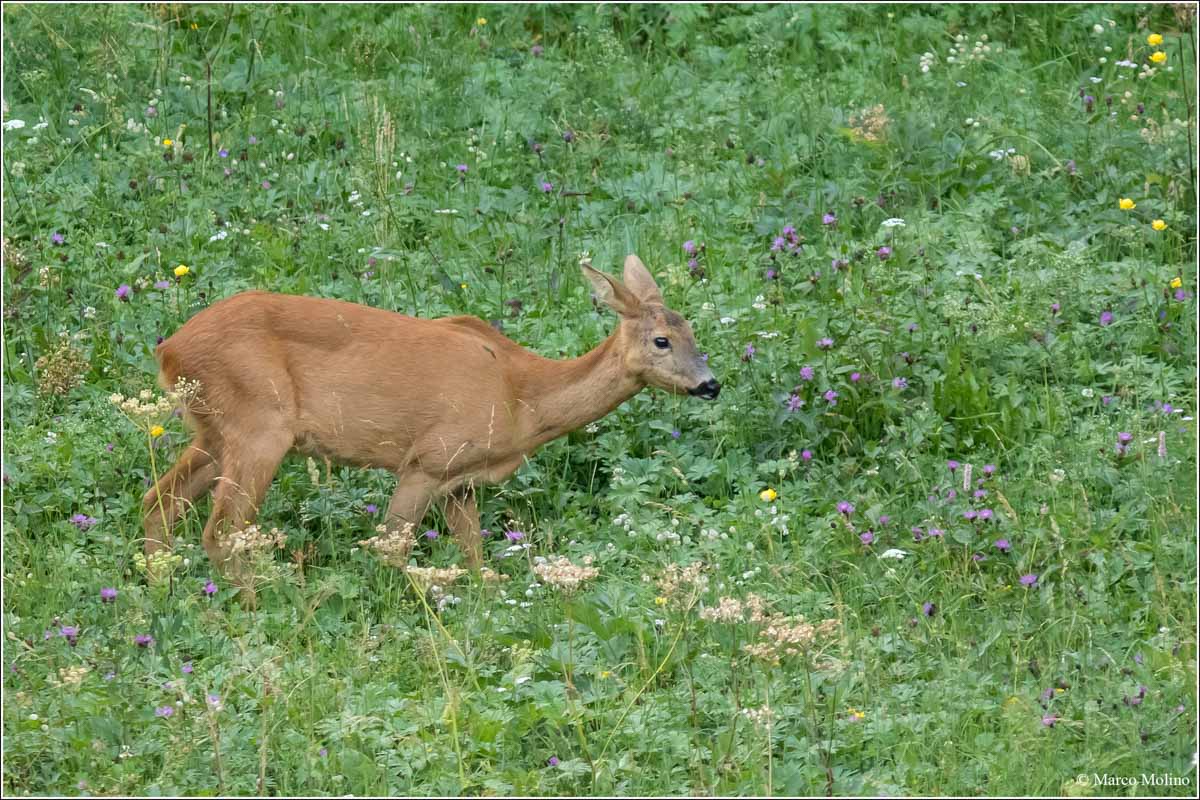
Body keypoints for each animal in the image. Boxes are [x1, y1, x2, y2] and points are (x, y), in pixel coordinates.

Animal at [142, 256, 720, 587]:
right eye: (661, 340)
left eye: (693, 332)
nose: (710, 384)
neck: (522, 397)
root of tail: (169, 350)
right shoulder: (427, 459)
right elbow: (391, 548)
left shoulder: (460, 480)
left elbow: (476, 558)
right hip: (260, 421)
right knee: (221, 529)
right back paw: (257, 599)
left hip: (214, 428)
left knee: (158, 502)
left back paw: (160, 588)